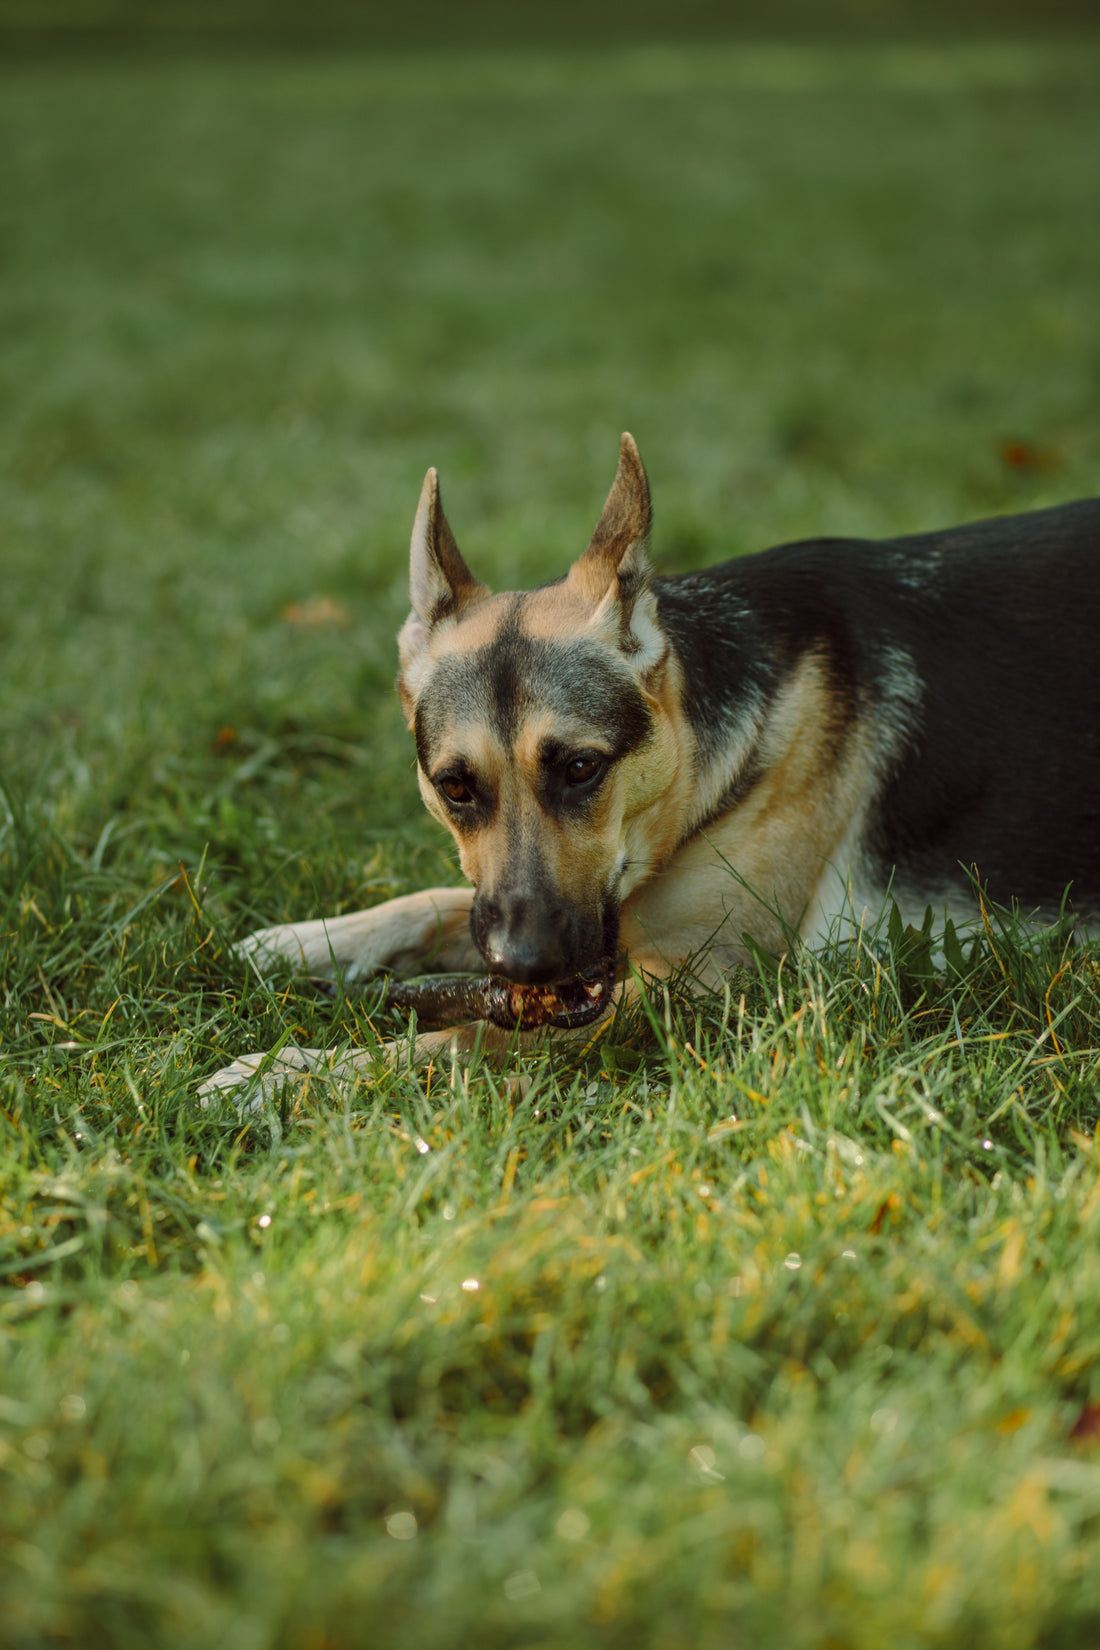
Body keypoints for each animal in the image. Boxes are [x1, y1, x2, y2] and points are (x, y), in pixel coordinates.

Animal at [197, 432, 1100, 1102]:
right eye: (455, 788)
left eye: (581, 769)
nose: (522, 964)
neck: (708, 769)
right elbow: (434, 904)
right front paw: (301, 942)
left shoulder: (699, 985)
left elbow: (467, 1039)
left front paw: (295, 1073)